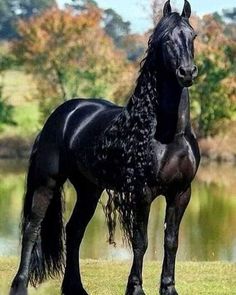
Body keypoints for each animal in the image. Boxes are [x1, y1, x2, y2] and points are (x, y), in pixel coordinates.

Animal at [10, 1, 200, 294]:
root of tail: (63, 115)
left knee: (74, 230)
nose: (187, 73)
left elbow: (171, 241)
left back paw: (75, 287)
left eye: (193, 36)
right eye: (167, 38)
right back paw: (20, 285)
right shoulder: (142, 192)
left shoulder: (181, 192)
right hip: (47, 183)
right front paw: (135, 288)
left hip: (89, 189)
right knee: (32, 228)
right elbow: (141, 241)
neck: (170, 135)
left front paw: (169, 288)